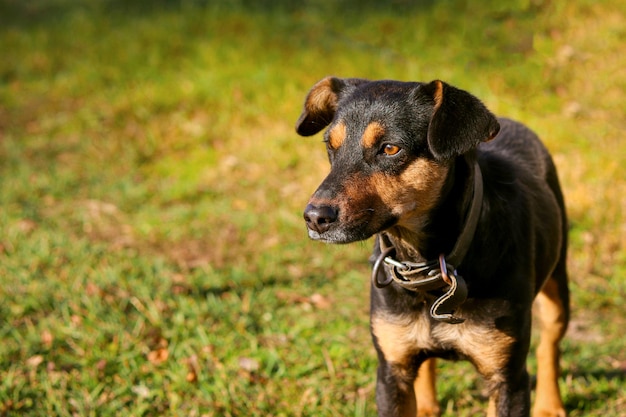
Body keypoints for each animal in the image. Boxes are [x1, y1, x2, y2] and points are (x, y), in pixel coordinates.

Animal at [294, 75, 568, 416]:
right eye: (330, 147)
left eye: (390, 148)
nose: (314, 218)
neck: (431, 266)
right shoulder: (391, 372)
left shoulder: (508, 379)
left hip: (558, 288)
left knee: (549, 345)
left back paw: (549, 404)